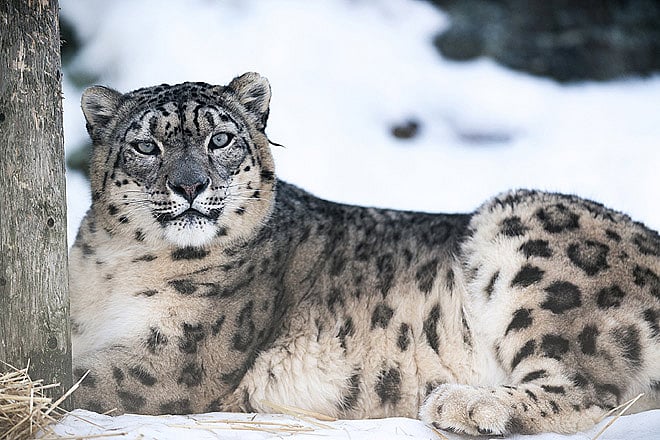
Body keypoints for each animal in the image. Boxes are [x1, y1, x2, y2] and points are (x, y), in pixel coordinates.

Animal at [70, 72, 660, 436]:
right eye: (146, 146)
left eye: (220, 139)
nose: (190, 185)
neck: (114, 267)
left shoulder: (177, 356)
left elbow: (81, 380)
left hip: (532, 249)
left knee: (589, 392)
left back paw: (465, 403)